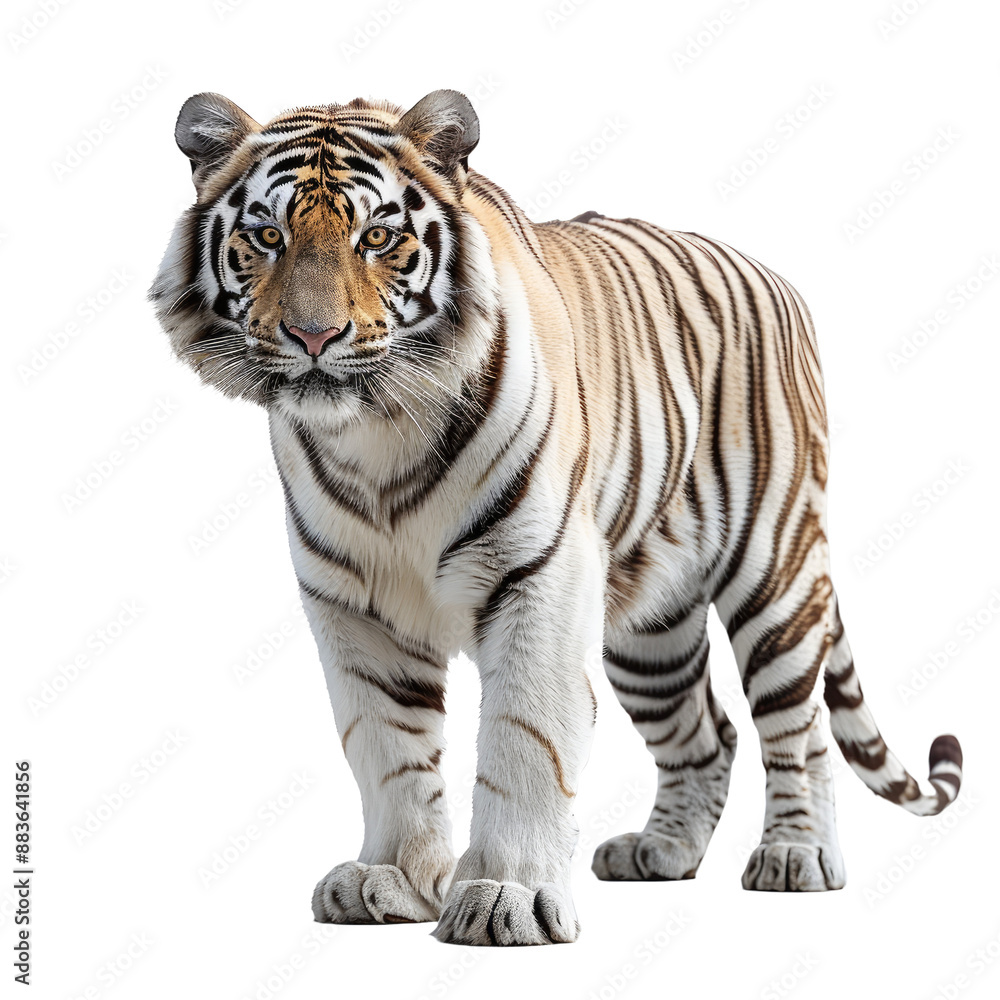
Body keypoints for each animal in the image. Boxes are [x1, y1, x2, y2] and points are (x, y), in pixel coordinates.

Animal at [150, 89, 964, 946]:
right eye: (266, 236)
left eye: (377, 237)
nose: (313, 335)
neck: (377, 436)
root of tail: (775, 277)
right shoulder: (353, 607)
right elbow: (387, 748)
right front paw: (392, 878)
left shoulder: (537, 578)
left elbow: (524, 739)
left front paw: (505, 897)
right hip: (650, 629)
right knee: (707, 733)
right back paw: (661, 852)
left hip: (776, 572)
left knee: (796, 730)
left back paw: (797, 855)